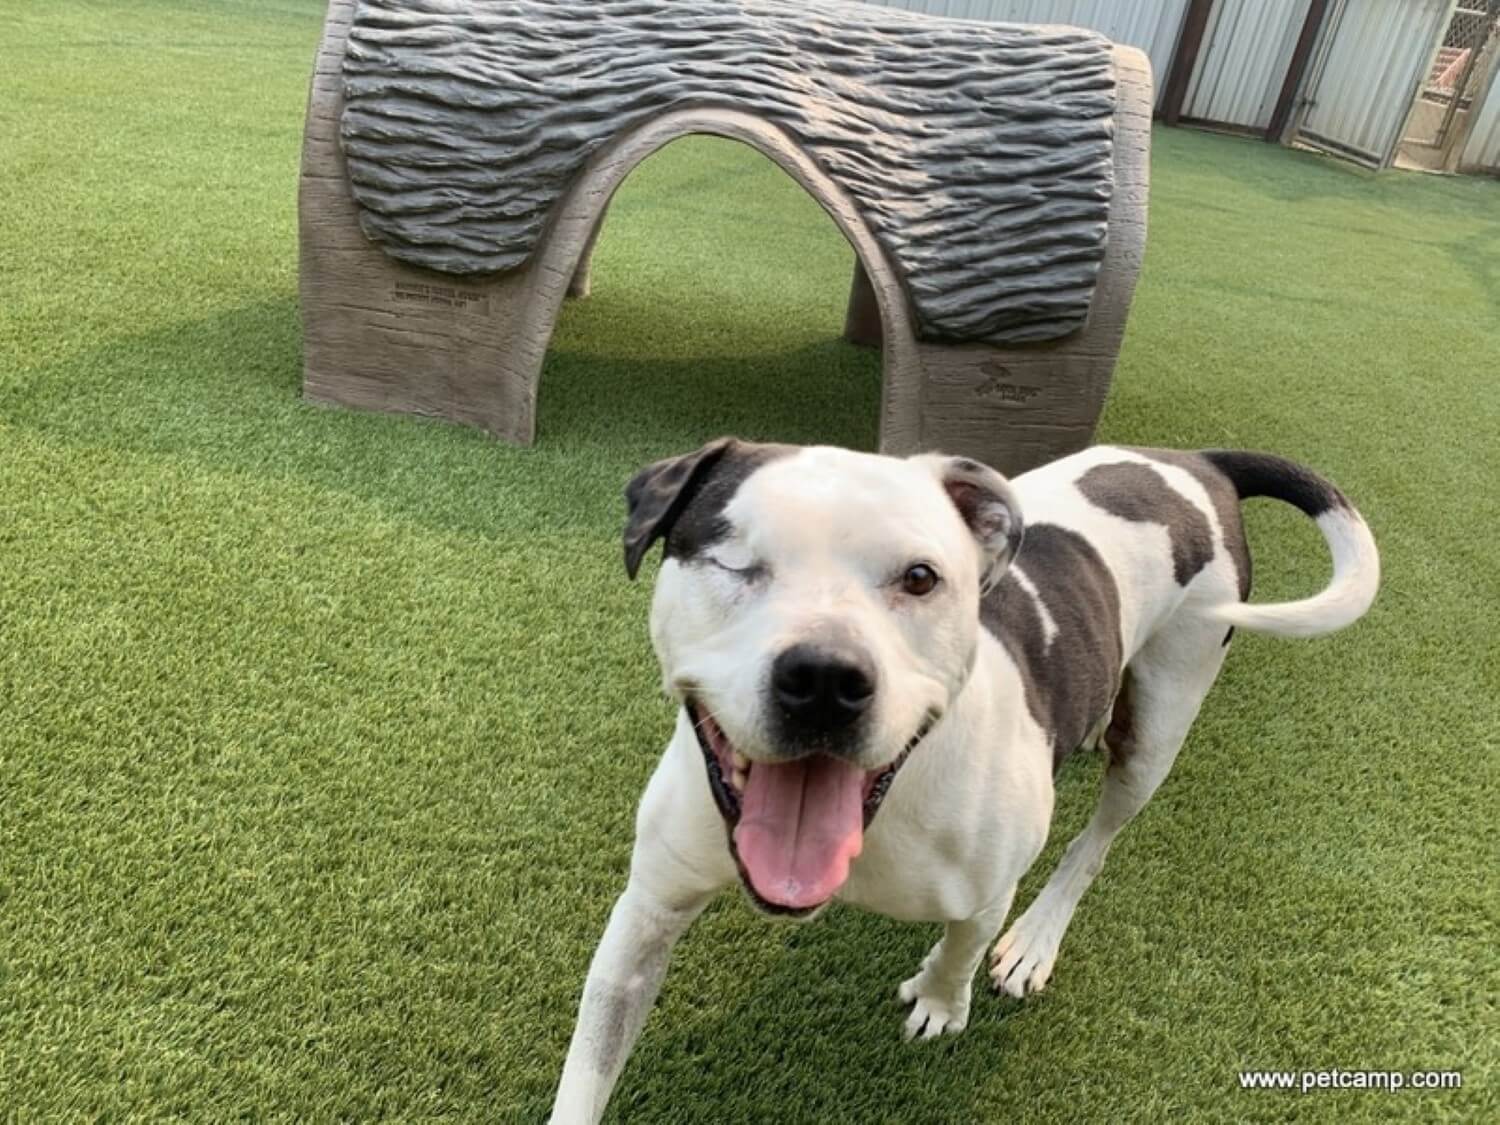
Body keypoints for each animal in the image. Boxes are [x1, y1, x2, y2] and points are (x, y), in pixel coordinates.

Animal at [546, 438, 1374, 1122]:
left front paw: (941, 1000)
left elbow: (962, 946)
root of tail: (1200, 461)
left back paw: (1036, 939)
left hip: (1164, 715)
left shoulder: (987, 889)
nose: (824, 678)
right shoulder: (647, 914)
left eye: (920, 578)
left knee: (1096, 840)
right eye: (734, 560)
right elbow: (590, 1062)